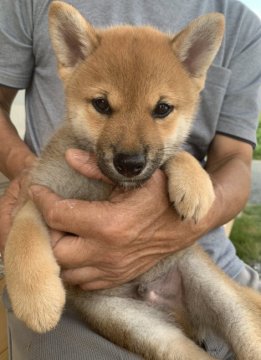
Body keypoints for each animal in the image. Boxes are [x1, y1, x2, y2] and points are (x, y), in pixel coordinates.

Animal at [4, 1, 260, 358]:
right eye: (101, 104)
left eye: (162, 109)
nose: (130, 163)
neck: (102, 185)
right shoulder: (39, 194)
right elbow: (24, 239)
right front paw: (38, 301)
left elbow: (174, 153)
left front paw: (195, 186)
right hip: (145, 329)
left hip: (228, 304)